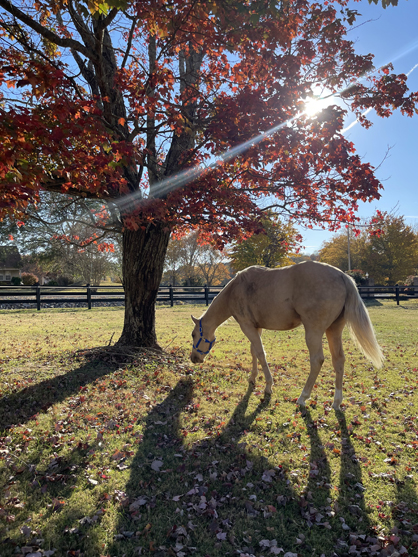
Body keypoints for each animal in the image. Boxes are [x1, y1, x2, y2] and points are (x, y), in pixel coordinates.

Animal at [191, 260, 384, 408]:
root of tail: (342, 276)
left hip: (313, 332)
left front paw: (268, 386)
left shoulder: (247, 327)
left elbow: (260, 353)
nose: (193, 359)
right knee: (339, 360)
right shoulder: (255, 327)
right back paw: (336, 402)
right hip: (333, 330)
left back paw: (303, 397)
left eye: (193, 335)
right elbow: (254, 352)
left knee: (317, 360)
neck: (236, 289)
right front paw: (252, 378)